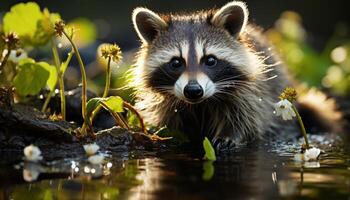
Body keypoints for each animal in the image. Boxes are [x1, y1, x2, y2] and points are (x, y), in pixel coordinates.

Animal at [130, 0, 340, 150]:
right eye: (176, 62)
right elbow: (169, 124)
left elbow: (248, 119)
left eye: (210, 60)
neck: (200, 104)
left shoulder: (252, 93)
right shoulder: (166, 104)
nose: (193, 90)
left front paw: (230, 135)